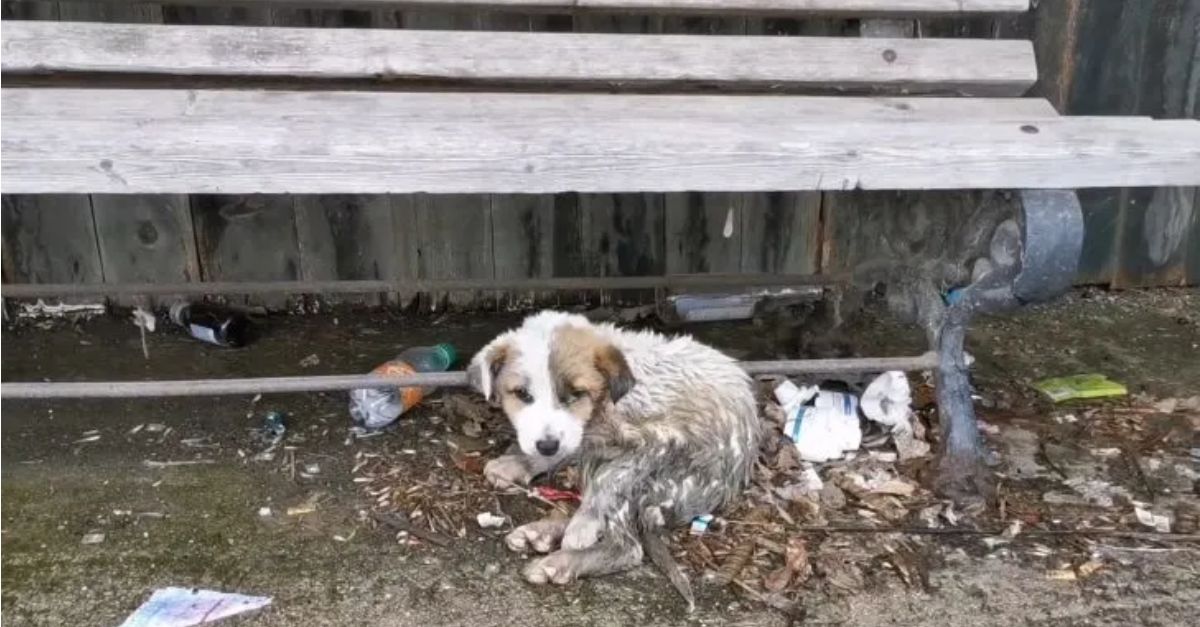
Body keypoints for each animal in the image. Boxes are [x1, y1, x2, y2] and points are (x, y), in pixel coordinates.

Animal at [465, 309, 758, 602]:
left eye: (577, 393)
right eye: (522, 394)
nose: (547, 446)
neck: (607, 402)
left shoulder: (660, 441)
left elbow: (609, 479)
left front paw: (584, 523)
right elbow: (574, 444)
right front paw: (521, 461)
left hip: (668, 480)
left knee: (627, 545)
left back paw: (561, 560)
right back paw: (542, 533)